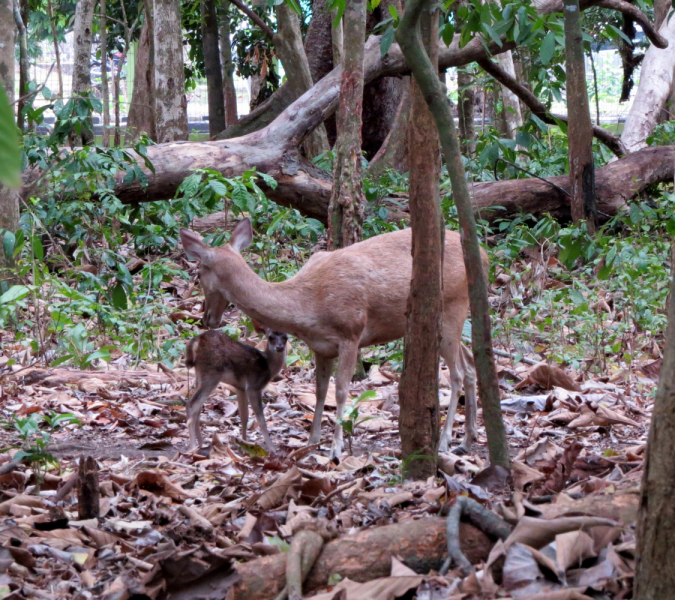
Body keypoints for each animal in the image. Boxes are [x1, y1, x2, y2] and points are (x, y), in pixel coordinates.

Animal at [181, 220, 486, 460]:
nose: (207, 318)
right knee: (471, 363)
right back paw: (467, 440)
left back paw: (446, 441)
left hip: (452, 306)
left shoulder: (351, 332)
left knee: (457, 373)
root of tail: (484, 255)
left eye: (199, 273)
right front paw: (312, 441)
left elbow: (340, 390)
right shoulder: (321, 347)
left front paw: (335, 449)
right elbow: (319, 391)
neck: (308, 304)